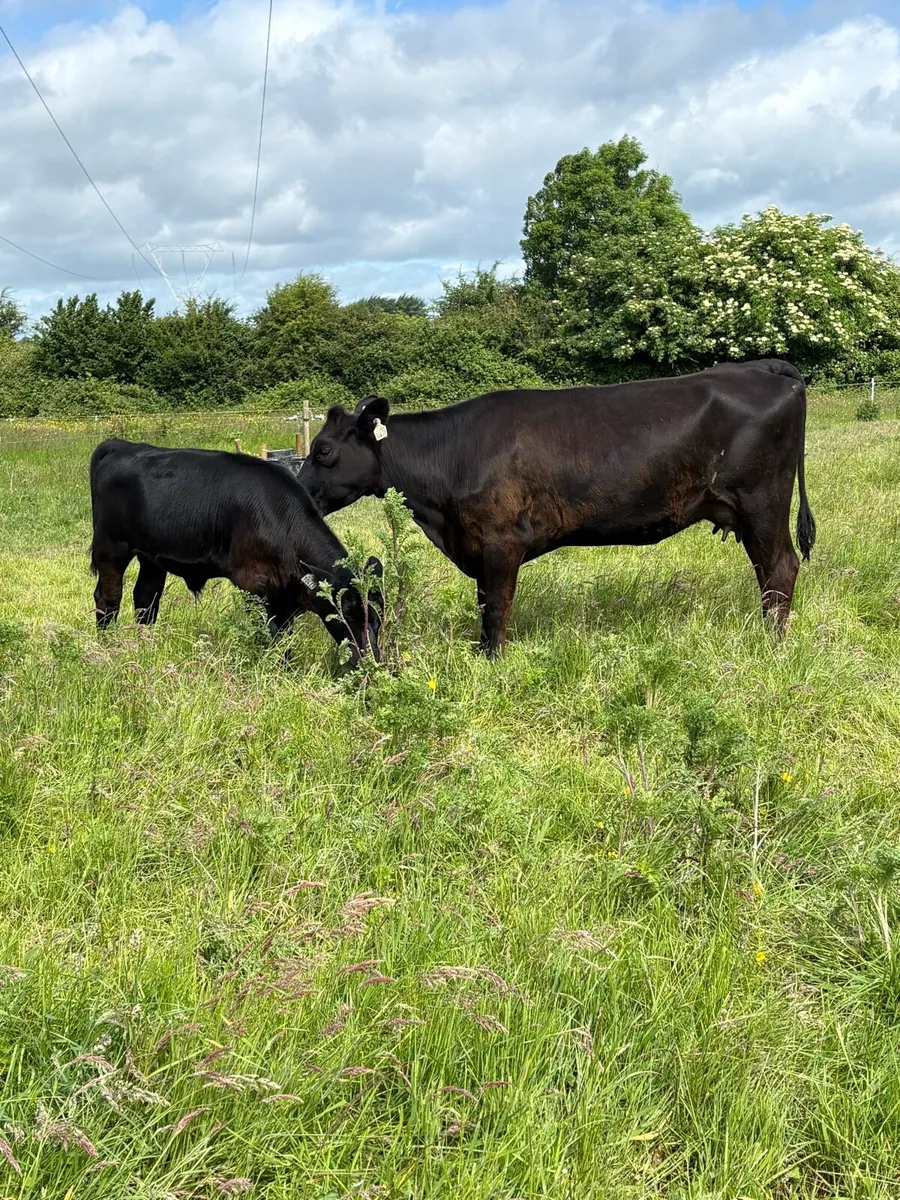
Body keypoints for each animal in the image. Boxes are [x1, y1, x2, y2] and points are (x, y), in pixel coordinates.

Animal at [89, 439, 383, 665]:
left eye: (378, 619)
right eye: (346, 614)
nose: (371, 660)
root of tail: (121, 445)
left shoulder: (283, 595)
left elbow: (284, 637)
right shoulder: (253, 584)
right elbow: (272, 636)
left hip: (151, 558)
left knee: (145, 600)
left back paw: (147, 646)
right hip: (111, 547)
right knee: (108, 599)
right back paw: (108, 646)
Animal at [298, 359, 815, 657]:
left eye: (323, 450)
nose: (299, 489)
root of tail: (764, 369)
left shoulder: (502, 540)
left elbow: (496, 606)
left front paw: (494, 660)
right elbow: (484, 604)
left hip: (762, 502)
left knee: (780, 568)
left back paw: (772, 644)